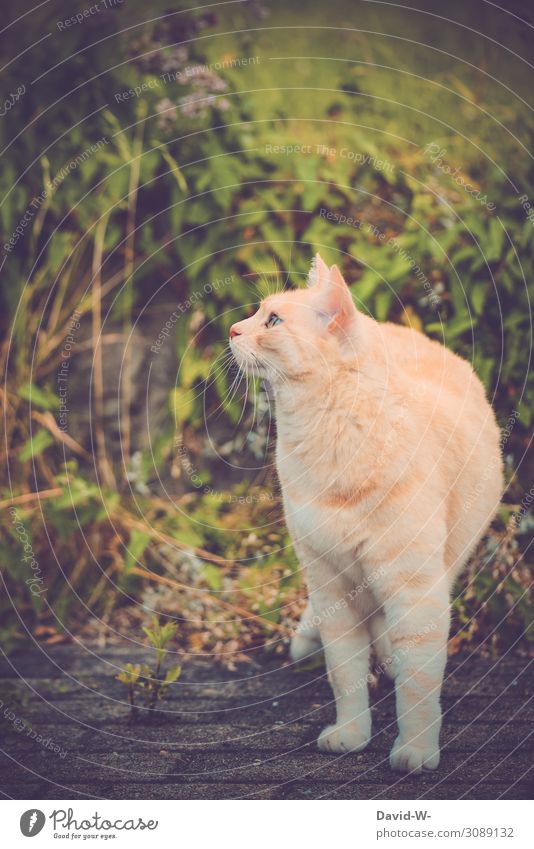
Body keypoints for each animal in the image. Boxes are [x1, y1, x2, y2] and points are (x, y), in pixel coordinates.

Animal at [228, 250, 504, 768]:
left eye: (272, 321)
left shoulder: (414, 592)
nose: (232, 330)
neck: (326, 432)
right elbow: (346, 675)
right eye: (257, 314)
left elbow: (418, 687)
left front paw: (415, 749)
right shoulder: (331, 586)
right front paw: (353, 734)